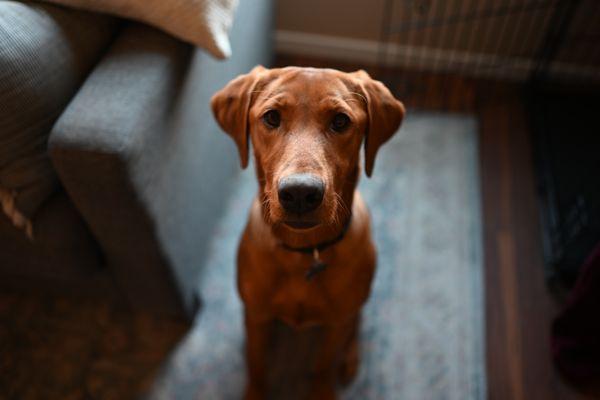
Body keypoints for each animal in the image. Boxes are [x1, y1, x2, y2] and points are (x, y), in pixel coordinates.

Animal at [211, 67, 404, 398]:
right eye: (271, 117)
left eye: (340, 121)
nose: (300, 193)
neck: (303, 254)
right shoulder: (256, 315)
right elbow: (257, 364)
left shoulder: (335, 323)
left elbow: (324, 365)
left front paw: (323, 389)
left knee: (355, 325)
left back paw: (350, 359)